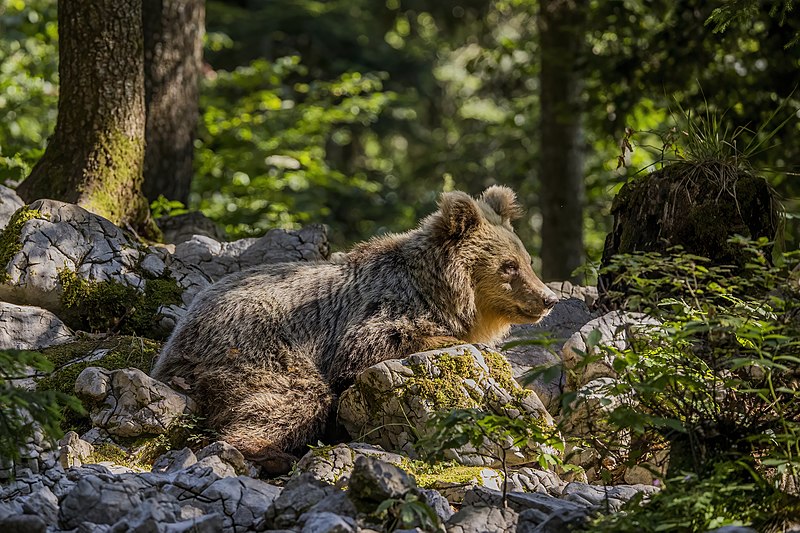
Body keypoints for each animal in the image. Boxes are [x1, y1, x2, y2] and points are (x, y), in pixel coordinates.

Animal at [153, 186, 560, 470]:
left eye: (526, 259)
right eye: (509, 266)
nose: (548, 298)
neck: (437, 292)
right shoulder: (375, 312)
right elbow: (373, 344)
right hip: (255, 344)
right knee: (293, 398)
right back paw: (272, 453)